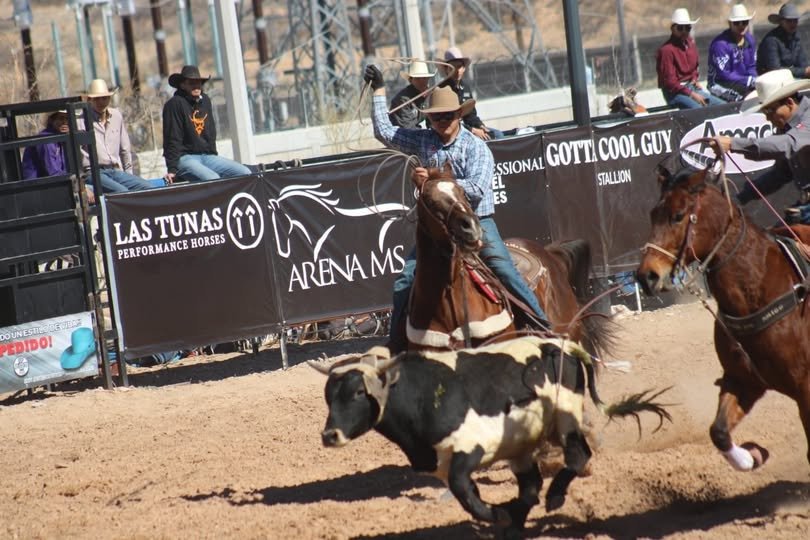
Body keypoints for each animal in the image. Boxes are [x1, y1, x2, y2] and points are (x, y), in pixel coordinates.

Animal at [309, 337, 670, 535]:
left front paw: (497, 515)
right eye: (328, 396)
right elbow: (468, 494)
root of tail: (558, 345)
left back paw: (554, 496)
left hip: (565, 419)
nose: (330, 435)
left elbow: (464, 490)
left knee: (577, 457)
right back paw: (517, 521)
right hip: (522, 449)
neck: (423, 395)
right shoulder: (444, 464)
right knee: (531, 486)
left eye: (359, 392)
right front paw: (505, 516)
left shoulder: (470, 449)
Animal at [636, 143, 810, 470]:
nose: (646, 276)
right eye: (652, 214)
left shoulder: (805, 388)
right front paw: (753, 455)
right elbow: (718, 432)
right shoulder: (741, 381)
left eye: (679, 215)